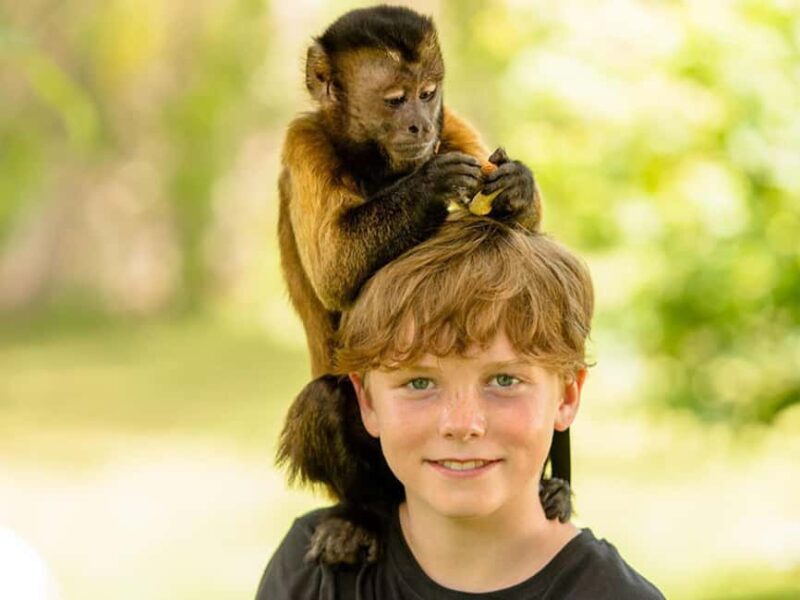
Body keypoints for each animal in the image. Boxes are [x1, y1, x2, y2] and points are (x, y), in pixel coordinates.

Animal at [275, 5, 571, 565]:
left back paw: (557, 488)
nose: (420, 123)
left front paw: (516, 186)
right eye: (395, 99)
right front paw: (431, 184)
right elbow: (335, 271)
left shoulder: (450, 123)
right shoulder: (304, 141)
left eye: (429, 92)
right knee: (324, 403)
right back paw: (362, 514)